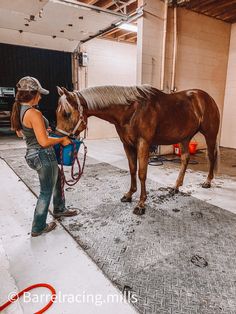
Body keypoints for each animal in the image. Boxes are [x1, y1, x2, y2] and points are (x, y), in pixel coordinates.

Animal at [56, 84, 220, 215]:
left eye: (67, 113)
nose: (59, 141)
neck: (131, 110)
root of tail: (207, 98)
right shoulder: (127, 145)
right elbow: (132, 169)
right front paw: (129, 195)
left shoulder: (143, 144)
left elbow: (142, 173)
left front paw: (141, 204)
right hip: (184, 138)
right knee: (185, 159)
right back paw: (175, 186)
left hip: (210, 135)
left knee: (211, 157)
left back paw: (207, 181)